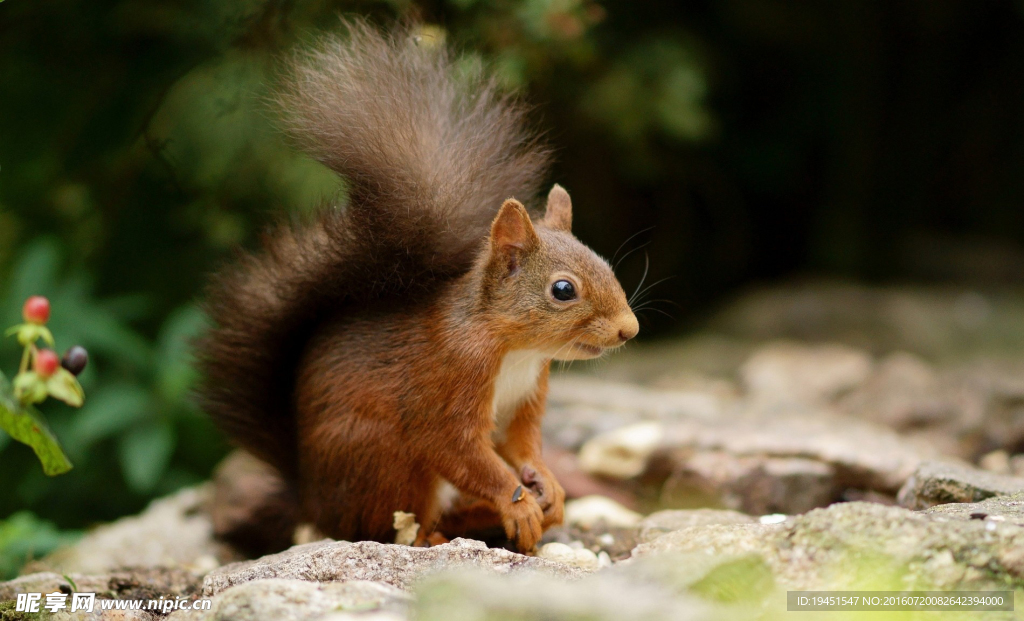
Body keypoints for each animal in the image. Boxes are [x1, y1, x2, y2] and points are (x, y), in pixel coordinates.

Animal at [195, 20, 634, 553]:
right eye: (563, 290)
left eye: (604, 262)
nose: (629, 330)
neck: (513, 348)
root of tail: (313, 501)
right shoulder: (447, 386)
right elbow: (461, 451)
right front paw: (517, 502)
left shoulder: (527, 397)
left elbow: (521, 445)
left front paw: (546, 484)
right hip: (385, 461)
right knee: (389, 526)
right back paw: (435, 535)